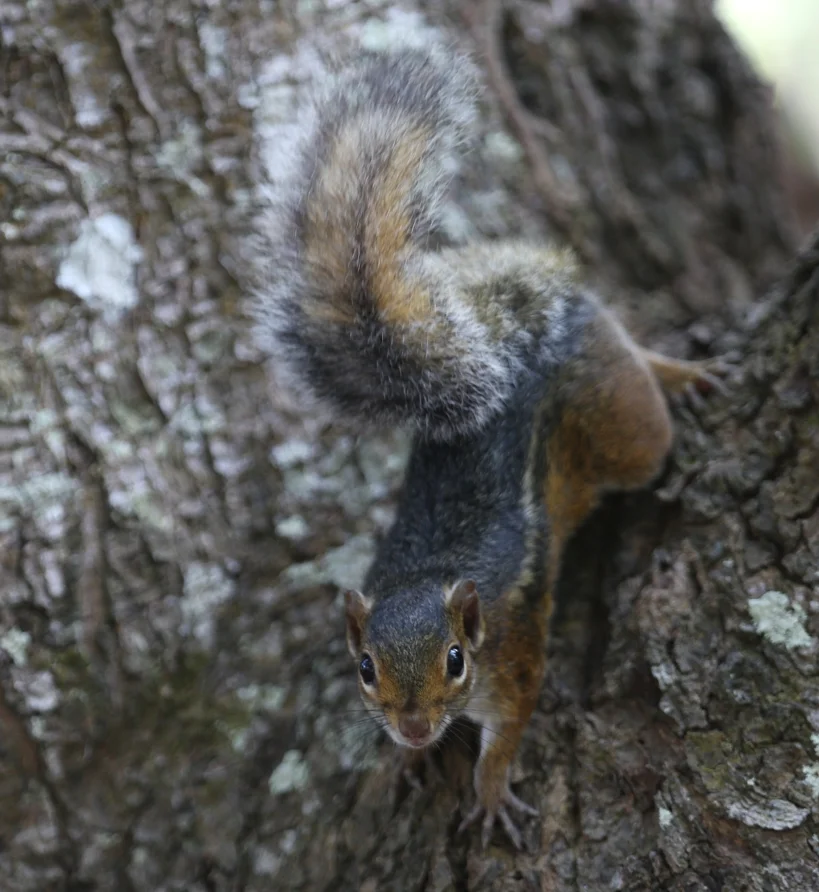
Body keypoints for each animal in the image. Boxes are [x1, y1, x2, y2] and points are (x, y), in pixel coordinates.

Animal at [252, 45, 729, 849]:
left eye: (454, 658)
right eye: (364, 668)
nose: (414, 728)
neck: (429, 577)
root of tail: (521, 341)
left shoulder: (514, 658)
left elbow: (508, 730)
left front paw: (489, 789)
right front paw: (402, 764)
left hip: (622, 429)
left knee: (642, 399)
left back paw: (673, 370)